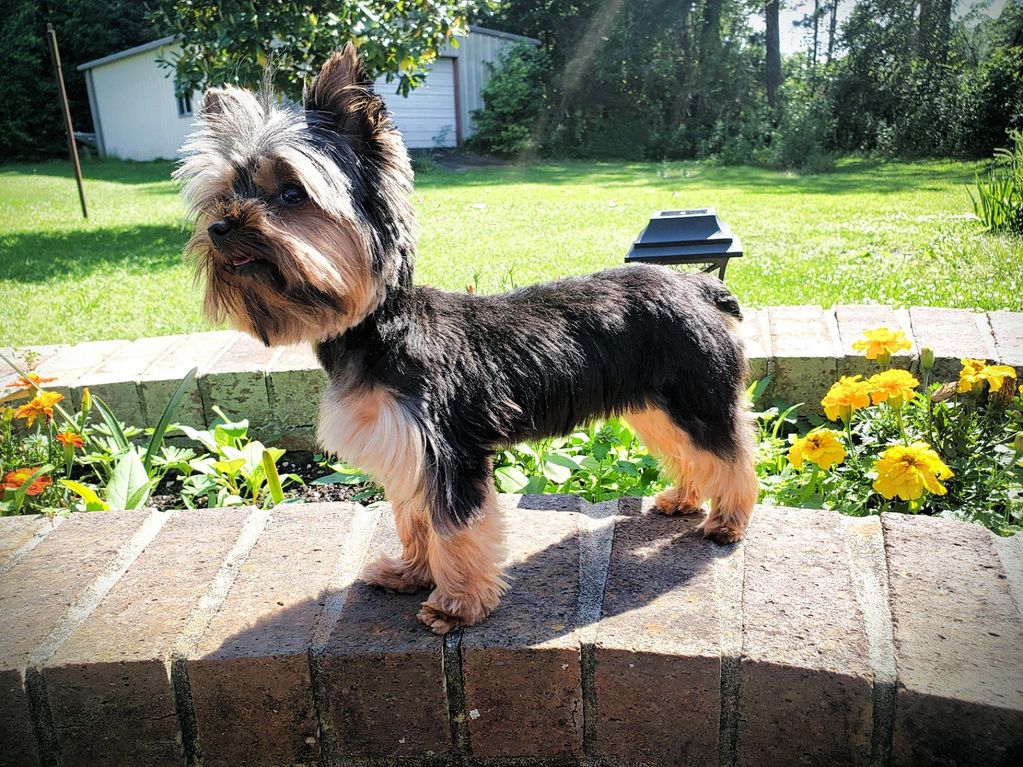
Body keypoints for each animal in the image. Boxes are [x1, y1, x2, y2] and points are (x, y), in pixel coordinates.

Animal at [175, 46, 757, 638]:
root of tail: (699, 285)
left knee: (729, 453)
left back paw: (728, 521)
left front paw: (456, 604)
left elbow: (454, 530)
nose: (221, 227)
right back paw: (684, 499)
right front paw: (410, 572)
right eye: (225, 195)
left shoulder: (447, 449)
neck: (380, 330)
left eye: (293, 194)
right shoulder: (407, 451)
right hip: (655, 405)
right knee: (689, 453)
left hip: (696, 396)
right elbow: (414, 519)